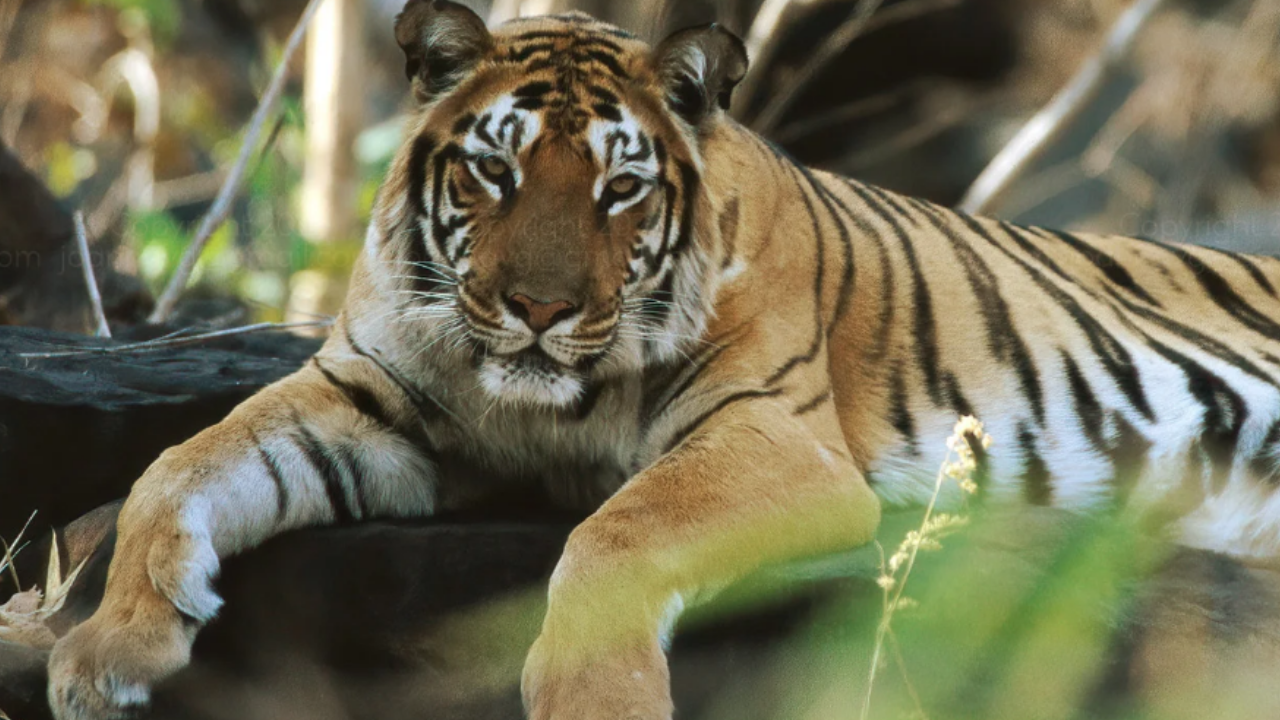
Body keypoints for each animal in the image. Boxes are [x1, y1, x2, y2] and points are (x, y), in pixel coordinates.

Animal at [45, 1, 1280, 718]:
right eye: (495, 172)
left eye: (620, 187)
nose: (539, 309)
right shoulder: (367, 403)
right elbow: (179, 464)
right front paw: (106, 649)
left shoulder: (772, 437)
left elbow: (615, 532)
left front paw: (596, 700)